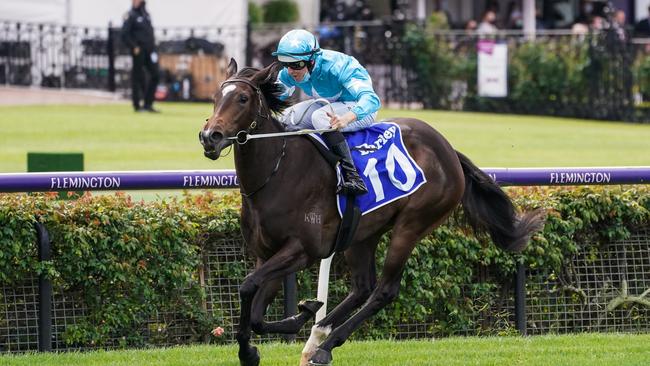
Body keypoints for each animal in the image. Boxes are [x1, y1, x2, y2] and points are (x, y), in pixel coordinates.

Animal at [197, 58, 540, 364]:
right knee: (362, 287)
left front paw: (274, 333)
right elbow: (254, 307)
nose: (210, 137)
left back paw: (325, 346)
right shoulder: (266, 252)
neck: (277, 172)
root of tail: (448, 151)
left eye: (242, 98)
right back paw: (317, 337)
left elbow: (248, 286)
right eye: (215, 97)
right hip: (363, 233)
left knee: (384, 290)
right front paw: (267, 339)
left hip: (412, 224)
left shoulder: (301, 249)